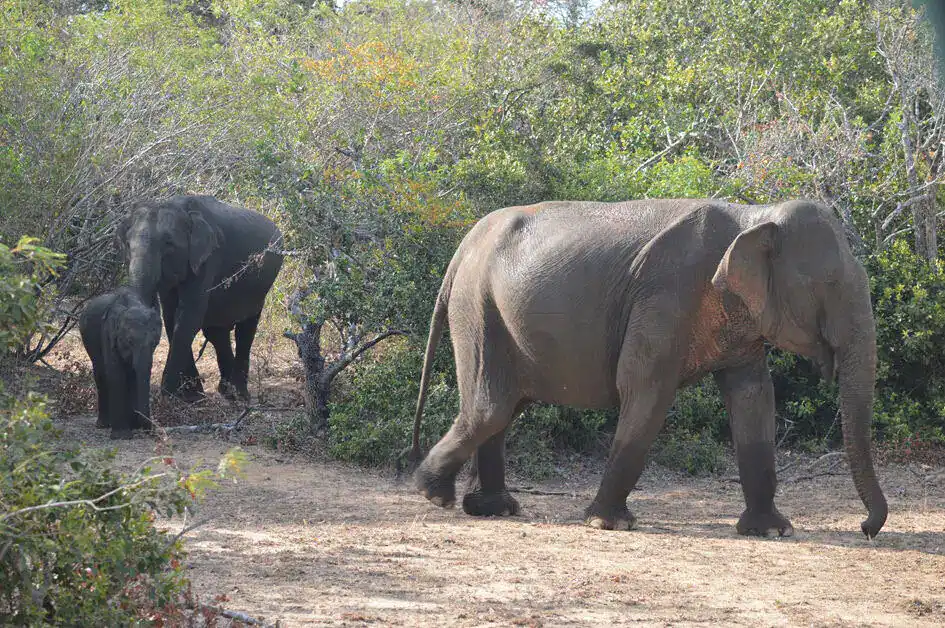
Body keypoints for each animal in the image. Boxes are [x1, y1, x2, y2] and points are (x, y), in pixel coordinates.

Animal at [79, 287, 162, 439]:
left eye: (155, 343)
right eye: (129, 341)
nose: (150, 431)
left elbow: (135, 375)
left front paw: (133, 426)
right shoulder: (107, 334)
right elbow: (116, 374)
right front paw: (122, 435)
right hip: (87, 338)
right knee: (101, 374)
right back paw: (104, 424)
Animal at [117, 194, 284, 402]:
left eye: (168, 244)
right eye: (127, 245)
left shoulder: (209, 258)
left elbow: (188, 317)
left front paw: (170, 396)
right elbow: (172, 317)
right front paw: (192, 396)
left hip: (260, 288)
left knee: (245, 330)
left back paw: (239, 394)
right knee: (216, 332)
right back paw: (226, 391)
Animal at [410, 198, 888, 539]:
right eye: (828, 284)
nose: (865, 529)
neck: (754, 215)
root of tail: (463, 246)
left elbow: (754, 398)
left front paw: (772, 531)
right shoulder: (664, 296)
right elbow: (646, 391)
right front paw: (609, 524)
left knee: (504, 408)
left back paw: (492, 508)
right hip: (477, 308)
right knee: (490, 407)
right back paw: (434, 496)